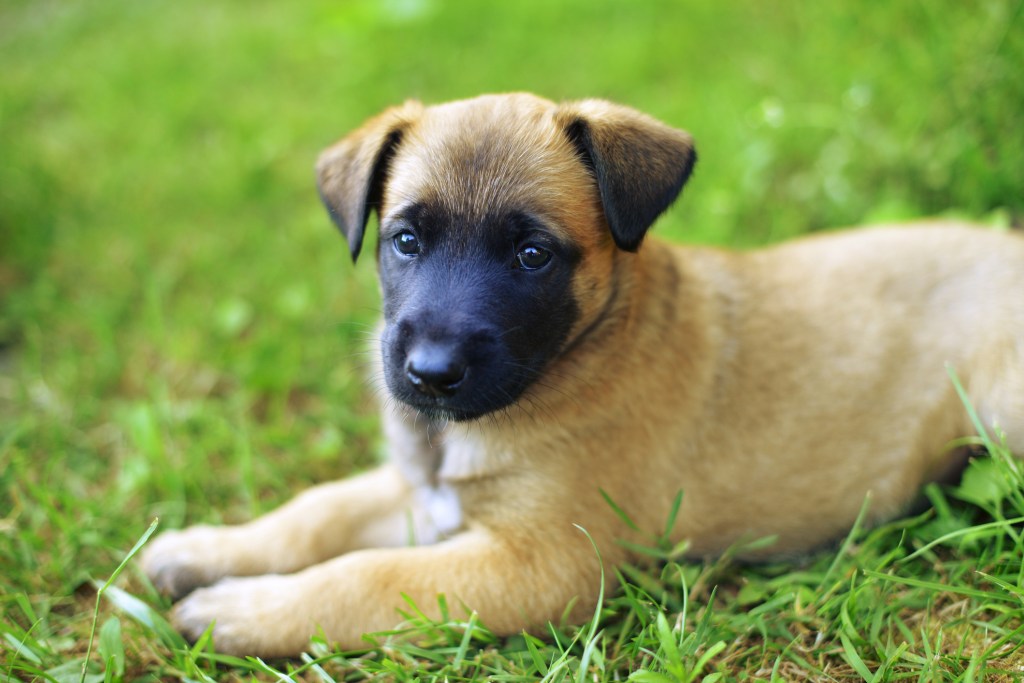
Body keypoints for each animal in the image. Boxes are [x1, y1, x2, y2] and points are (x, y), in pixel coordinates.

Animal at [142, 92, 1024, 655]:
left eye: (533, 253)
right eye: (405, 241)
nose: (429, 374)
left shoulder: (538, 565)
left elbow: (368, 578)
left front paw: (246, 611)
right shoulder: (428, 496)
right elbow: (315, 512)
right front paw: (206, 548)